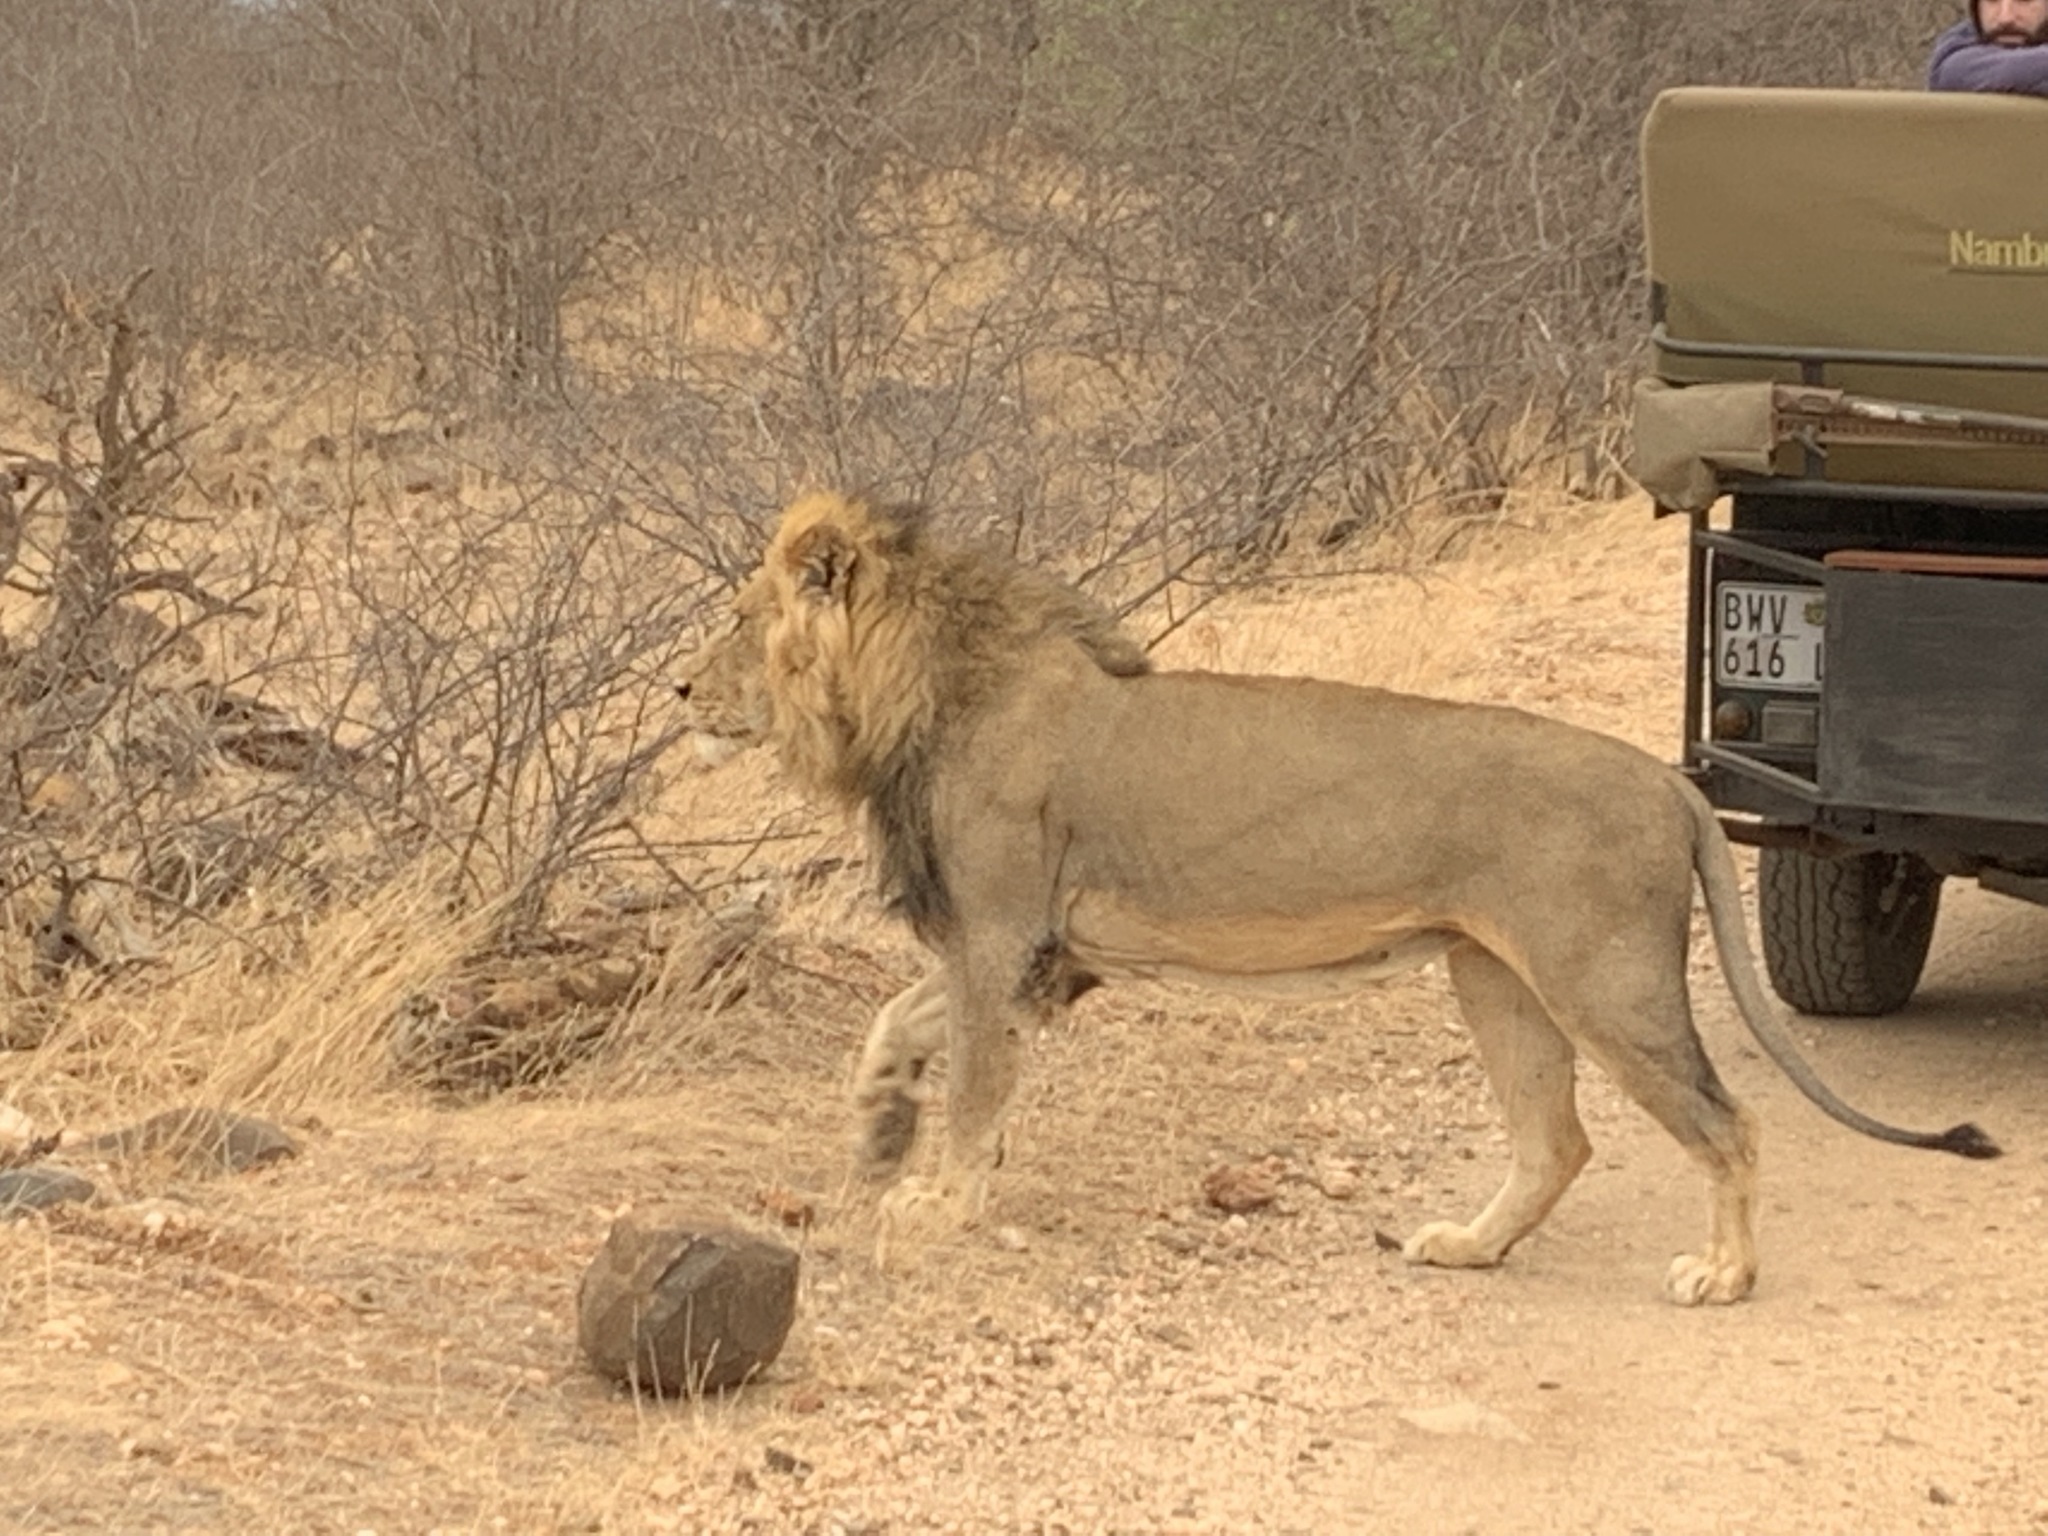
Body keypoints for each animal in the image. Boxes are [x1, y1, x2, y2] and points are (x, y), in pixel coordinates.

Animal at [679, 493, 1990, 1310]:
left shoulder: (1005, 933)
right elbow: (898, 1025)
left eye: (741, 622)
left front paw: (936, 1203)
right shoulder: (1039, 950)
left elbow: (974, 1087)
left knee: (1726, 1123)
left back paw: (1720, 1276)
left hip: (1603, 983)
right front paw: (877, 1126)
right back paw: (1467, 1247)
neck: (918, 694)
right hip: (1493, 976)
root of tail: (1665, 778)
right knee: (1555, 1139)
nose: (683, 690)